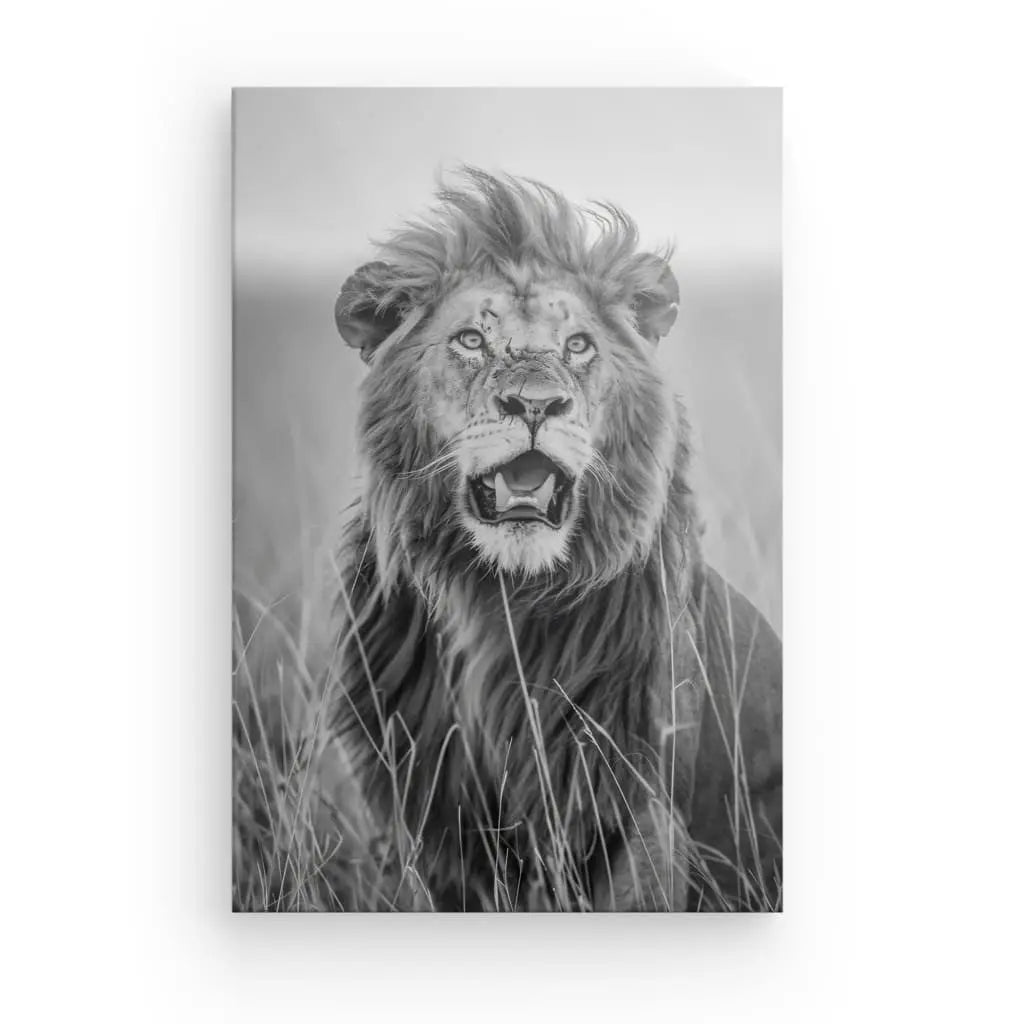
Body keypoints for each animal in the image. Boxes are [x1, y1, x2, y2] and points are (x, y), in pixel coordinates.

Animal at [330, 168, 782, 911]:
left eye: (577, 346)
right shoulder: (439, 819)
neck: (501, 599)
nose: (536, 404)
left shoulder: (638, 804)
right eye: (471, 341)